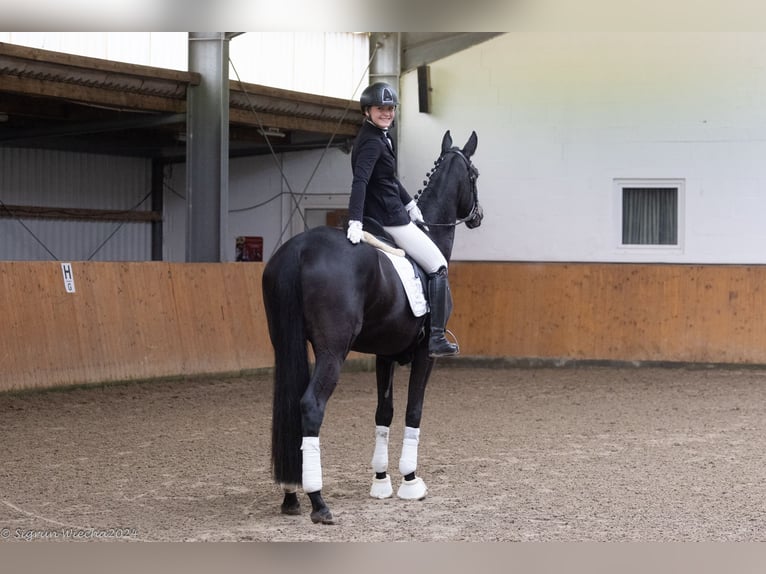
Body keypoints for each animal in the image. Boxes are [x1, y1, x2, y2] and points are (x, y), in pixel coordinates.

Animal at [260, 130, 484, 528]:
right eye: (474, 174)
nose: (479, 216)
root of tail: (298, 249)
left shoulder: (385, 354)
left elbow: (384, 413)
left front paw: (381, 481)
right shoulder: (426, 356)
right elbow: (413, 411)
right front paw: (410, 481)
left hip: (285, 344)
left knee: (289, 408)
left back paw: (290, 496)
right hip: (332, 352)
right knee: (310, 406)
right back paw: (318, 502)